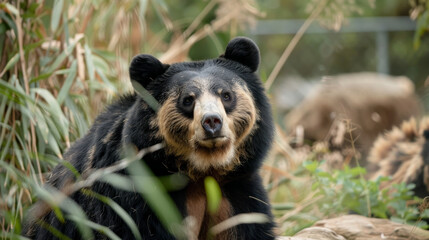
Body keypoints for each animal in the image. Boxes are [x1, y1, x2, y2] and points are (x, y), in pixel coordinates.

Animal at [23, 37, 276, 240]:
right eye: (188, 100)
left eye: (226, 95)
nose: (212, 122)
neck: (203, 173)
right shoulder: (135, 199)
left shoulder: (238, 193)